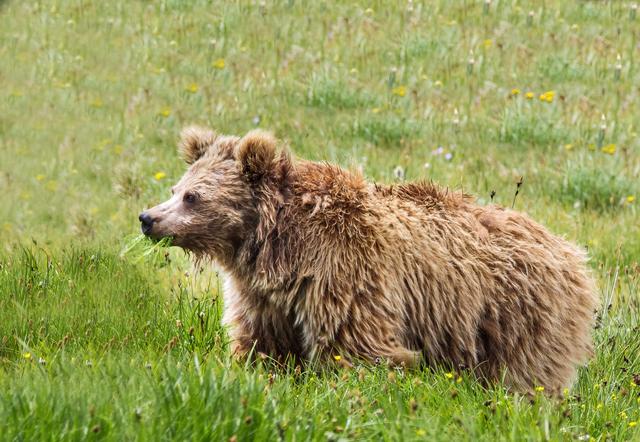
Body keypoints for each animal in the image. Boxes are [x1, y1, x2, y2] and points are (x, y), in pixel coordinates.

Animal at [140, 127, 600, 394]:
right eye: (176, 187)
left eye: (192, 196)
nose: (148, 218)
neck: (275, 244)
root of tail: (571, 250)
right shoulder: (264, 294)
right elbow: (262, 342)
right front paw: (249, 370)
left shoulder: (343, 270)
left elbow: (358, 345)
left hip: (520, 312)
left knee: (526, 373)